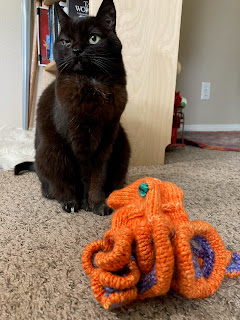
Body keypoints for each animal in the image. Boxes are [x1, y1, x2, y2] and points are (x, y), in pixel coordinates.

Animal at [14, 0, 130, 216]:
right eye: (66, 42)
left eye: (93, 38)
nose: (76, 50)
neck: (92, 83)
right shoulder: (76, 140)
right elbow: (83, 177)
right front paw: (81, 203)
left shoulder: (107, 140)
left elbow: (98, 176)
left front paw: (97, 204)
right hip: (50, 151)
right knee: (51, 182)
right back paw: (62, 197)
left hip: (122, 143)